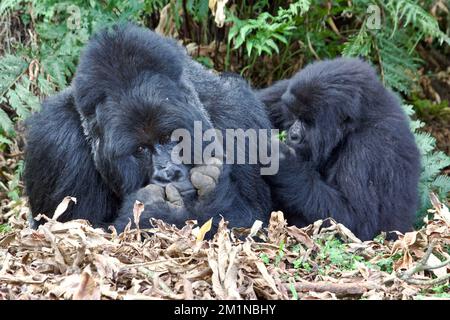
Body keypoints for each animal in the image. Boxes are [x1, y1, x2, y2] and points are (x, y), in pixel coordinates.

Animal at [24, 23, 272, 232]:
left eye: (169, 138)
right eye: (140, 149)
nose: (168, 172)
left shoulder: (238, 115)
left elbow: (252, 222)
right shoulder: (56, 141)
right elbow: (79, 229)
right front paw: (157, 209)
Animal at [256, 57, 422, 240]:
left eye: (308, 121)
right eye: (294, 115)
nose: (293, 135)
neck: (360, 119)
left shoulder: (369, 147)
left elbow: (357, 223)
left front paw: (281, 162)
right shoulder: (288, 87)